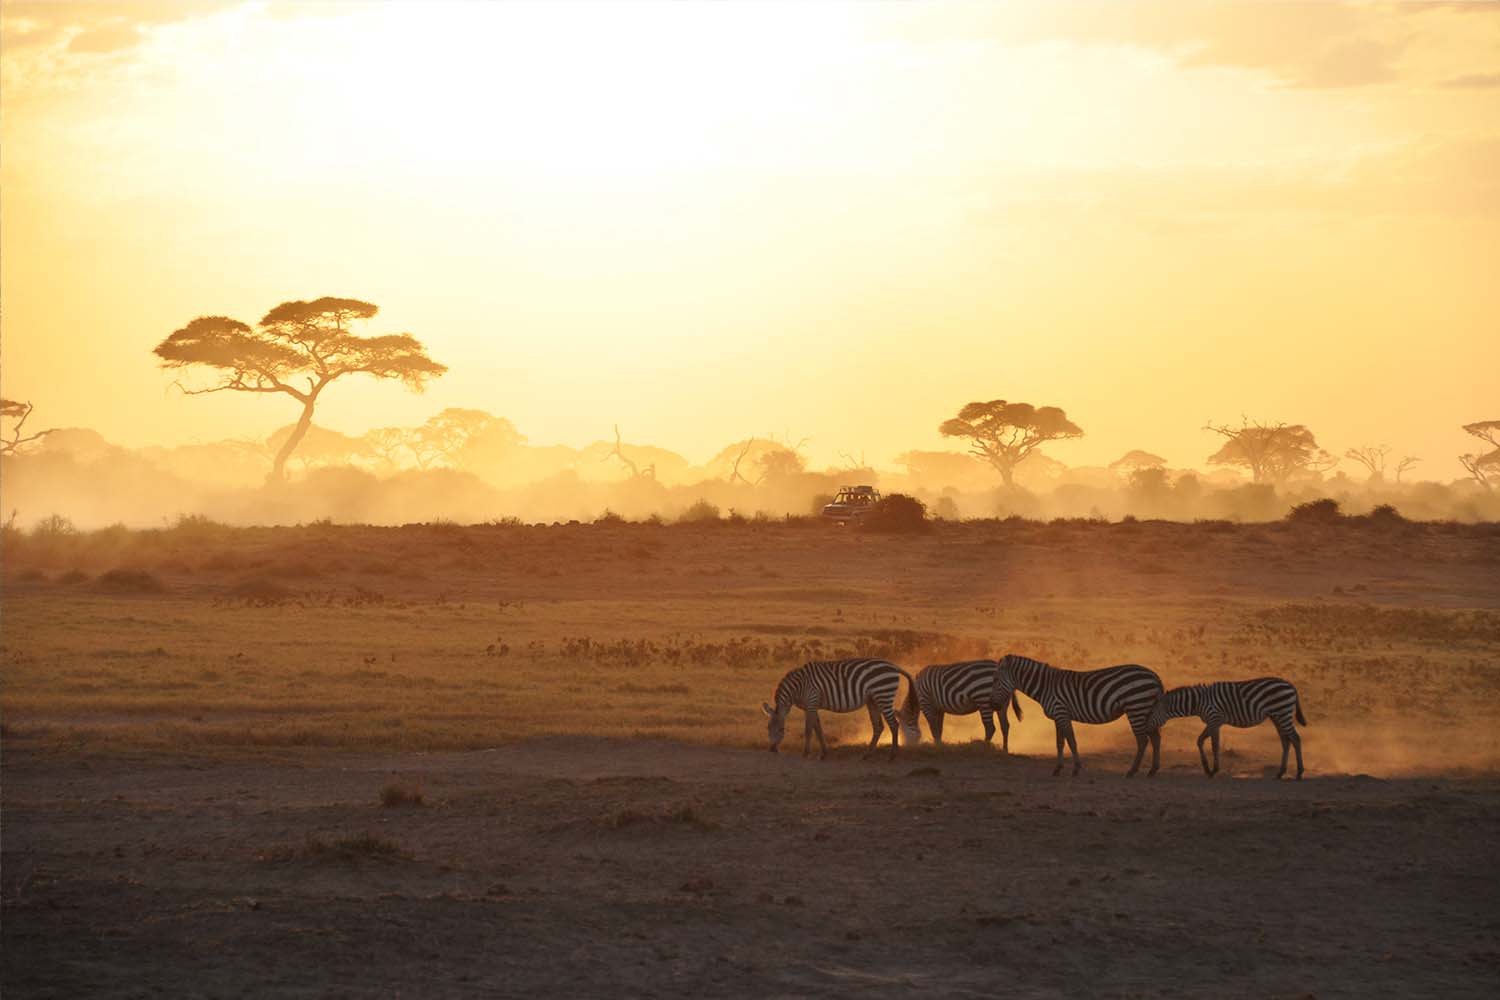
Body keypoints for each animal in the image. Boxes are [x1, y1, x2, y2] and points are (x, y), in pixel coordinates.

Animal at [762, 658, 918, 760]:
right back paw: (867, 755)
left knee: (894, 725)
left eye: (782, 729)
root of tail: (893, 666)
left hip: (884, 695)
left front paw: (805, 753)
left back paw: (892, 755)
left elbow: (808, 730)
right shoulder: (812, 706)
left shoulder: (812, 701)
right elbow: (818, 730)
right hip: (873, 700)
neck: (798, 687)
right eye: (768, 728)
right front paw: (824, 753)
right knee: (879, 726)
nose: (772, 750)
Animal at [894, 659, 1024, 750]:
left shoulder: (926, 703)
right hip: (1002, 704)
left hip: (984, 701)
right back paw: (1005, 750)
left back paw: (984, 748)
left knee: (990, 728)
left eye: (902, 730)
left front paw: (936, 747)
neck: (916, 694)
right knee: (1005, 726)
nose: (907, 747)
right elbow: (939, 728)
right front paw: (940, 745)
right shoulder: (939, 708)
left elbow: (933, 728)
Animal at [991, 654, 1164, 777]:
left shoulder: (1061, 713)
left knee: (1143, 741)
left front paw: (1076, 769)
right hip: (1145, 709)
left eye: (996, 680)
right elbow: (1060, 743)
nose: (993, 706)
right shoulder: (1058, 717)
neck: (1045, 687)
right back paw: (1153, 770)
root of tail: (1154, 675)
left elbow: (1072, 742)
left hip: (1136, 707)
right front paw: (1058, 769)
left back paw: (1132, 771)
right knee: (1156, 739)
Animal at [1148, 679, 1308, 779]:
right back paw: (1280, 773)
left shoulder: (1214, 719)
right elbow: (1207, 743)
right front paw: (1210, 768)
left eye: (1151, 712)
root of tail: (1290, 685)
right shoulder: (1215, 722)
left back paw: (1299, 773)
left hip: (1282, 712)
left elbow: (1208, 743)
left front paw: (1211, 770)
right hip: (1277, 716)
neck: (1198, 702)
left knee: (1295, 739)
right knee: (1286, 742)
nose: (1145, 724)